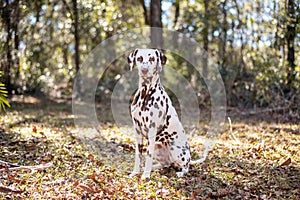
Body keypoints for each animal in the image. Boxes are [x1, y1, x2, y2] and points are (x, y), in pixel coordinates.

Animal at [126, 48, 206, 180]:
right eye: (139, 58)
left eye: (152, 58)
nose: (144, 70)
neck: (145, 94)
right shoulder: (137, 130)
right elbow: (138, 155)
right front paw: (136, 172)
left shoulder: (152, 129)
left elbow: (148, 156)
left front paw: (145, 175)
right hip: (158, 147)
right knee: (166, 164)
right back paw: (154, 168)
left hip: (175, 149)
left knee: (186, 167)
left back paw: (180, 172)